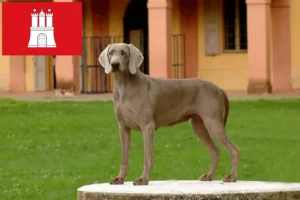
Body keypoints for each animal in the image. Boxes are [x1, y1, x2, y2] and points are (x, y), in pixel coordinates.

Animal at [99, 43, 240, 185]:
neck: (124, 86)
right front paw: (120, 178)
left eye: (124, 53)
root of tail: (219, 88)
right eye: (111, 53)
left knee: (234, 150)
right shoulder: (123, 127)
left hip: (213, 122)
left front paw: (143, 179)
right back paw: (209, 176)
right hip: (199, 126)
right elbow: (124, 157)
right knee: (215, 151)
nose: (115, 64)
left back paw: (232, 177)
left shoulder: (147, 126)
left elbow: (147, 158)